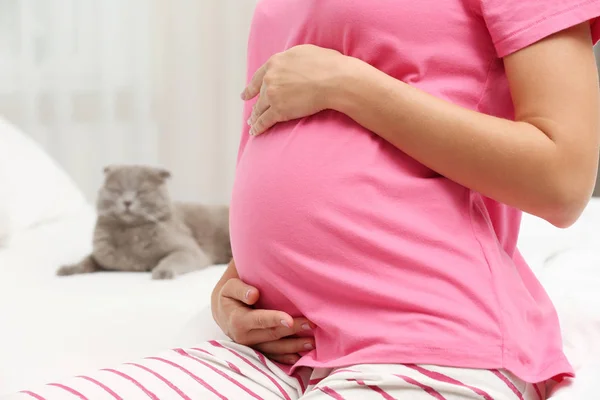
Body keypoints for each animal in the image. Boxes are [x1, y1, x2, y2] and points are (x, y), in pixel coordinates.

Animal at [56, 164, 230, 280]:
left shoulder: (188, 249)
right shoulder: (102, 256)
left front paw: (162, 272)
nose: (127, 202)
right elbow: (86, 260)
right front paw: (68, 268)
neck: (129, 233)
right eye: (117, 191)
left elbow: (173, 258)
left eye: (142, 192)